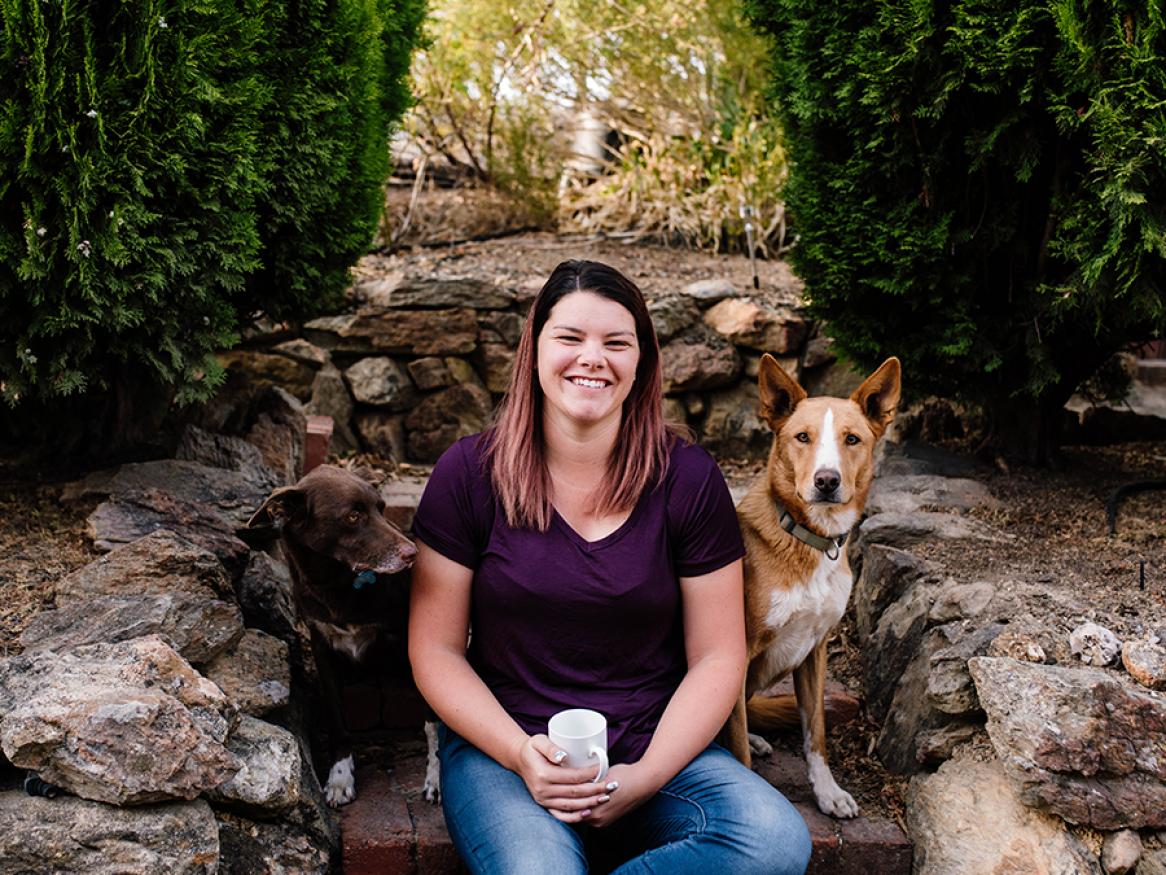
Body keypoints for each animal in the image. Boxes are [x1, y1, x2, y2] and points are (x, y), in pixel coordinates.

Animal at [246, 466, 438, 807]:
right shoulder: (322, 647)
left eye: (382, 508)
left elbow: (433, 723)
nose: (413, 554)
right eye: (352, 516)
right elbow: (337, 719)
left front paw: (435, 777)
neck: (336, 582)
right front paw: (339, 777)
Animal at [718, 352, 900, 821]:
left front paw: (827, 792)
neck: (809, 539)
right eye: (802, 437)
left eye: (852, 439)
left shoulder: (817, 648)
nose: (827, 480)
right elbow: (738, 750)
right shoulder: (738, 651)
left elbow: (815, 733)